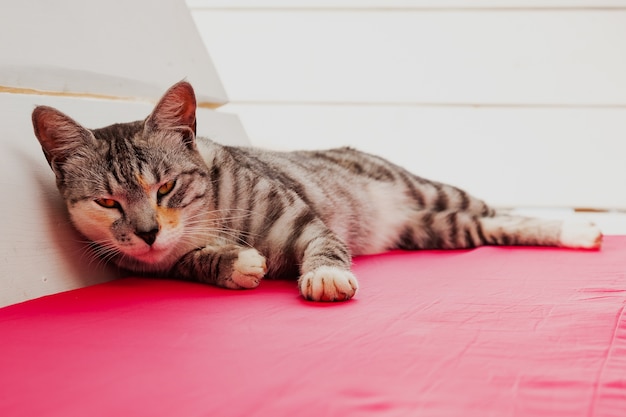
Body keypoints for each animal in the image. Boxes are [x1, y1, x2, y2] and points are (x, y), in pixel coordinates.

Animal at [31, 81, 604, 300]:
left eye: (166, 187)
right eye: (108, 201)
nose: (148, 232)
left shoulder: (300, 218)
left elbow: (323, 244)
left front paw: (326, 276)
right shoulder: (151, 265)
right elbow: (189, 262)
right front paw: (233, 262)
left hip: (437, 194)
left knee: (500, 210)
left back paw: (578, 227)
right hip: (439, 229)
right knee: (490, 226)